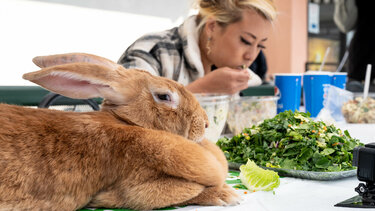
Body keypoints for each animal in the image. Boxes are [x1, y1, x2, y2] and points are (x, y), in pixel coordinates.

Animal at [0, 53, 239, 211]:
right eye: (164, 96)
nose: (205, 124)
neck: (129, 123)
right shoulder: (137, 187)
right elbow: (189, 191)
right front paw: (227, 195)